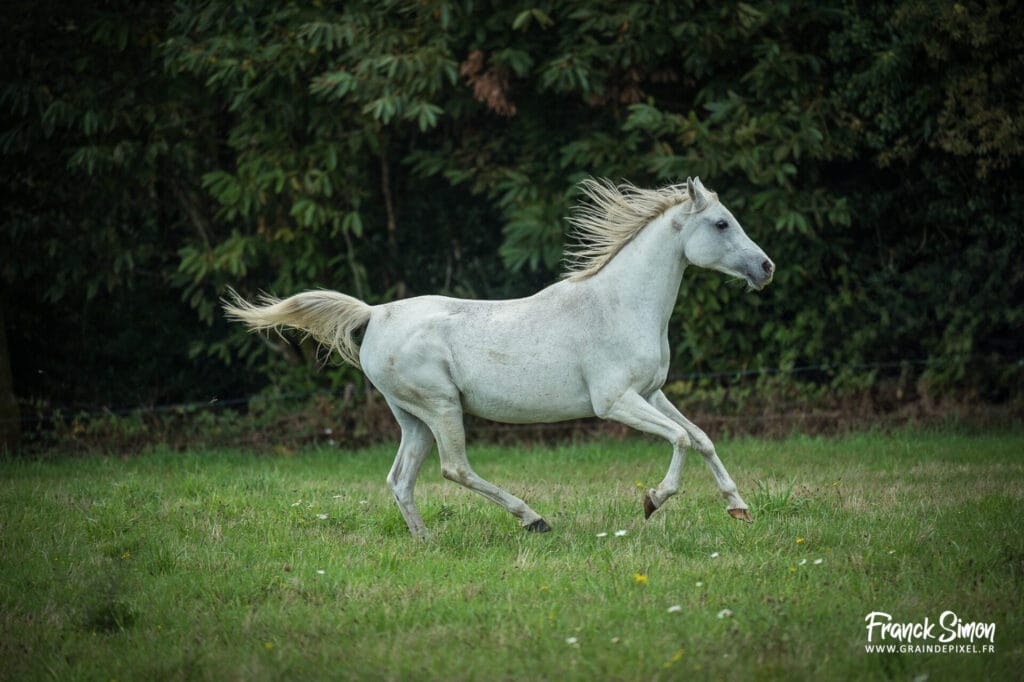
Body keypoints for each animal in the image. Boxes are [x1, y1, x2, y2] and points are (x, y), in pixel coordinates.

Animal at [225, 177, 774, 537]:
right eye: (721, 223)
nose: (766, 268)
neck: (618, 305)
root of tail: (375, 314)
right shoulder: (616, 401)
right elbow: (681, 439)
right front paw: (651, 501)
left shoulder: (651, 393)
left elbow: (701, 438)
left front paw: (739, 508)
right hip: (441, 407)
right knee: (455, 469)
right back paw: (533, 520)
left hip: (413, 417)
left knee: (400, 479)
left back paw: (427, 542)